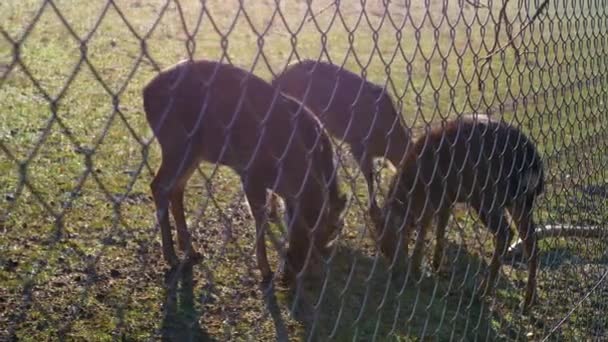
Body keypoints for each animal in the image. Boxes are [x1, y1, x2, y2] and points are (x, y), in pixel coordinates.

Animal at [142, 58, 346, 284]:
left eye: (328, 233)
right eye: (305, 228)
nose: (290, 273)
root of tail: (145, 91)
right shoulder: (250, 173)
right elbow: (259, 216)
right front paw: (265, 270)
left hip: (193, 152)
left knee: (175, 189)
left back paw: (191, 251)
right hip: (177, 143)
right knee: (159, 185)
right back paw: (171, 256)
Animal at [372, 115, 544, 312]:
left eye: (389, 243)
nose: (394, 273)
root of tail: (532, 161)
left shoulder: (435, 195)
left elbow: (425, 227)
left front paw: (418, 269)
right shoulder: (447, 198)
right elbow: (440, 228)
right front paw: (436, 265)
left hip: (485, 194)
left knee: (505, 232)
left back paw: (481, 292)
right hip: (521, 200)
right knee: (531, 238)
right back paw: (528, 300)